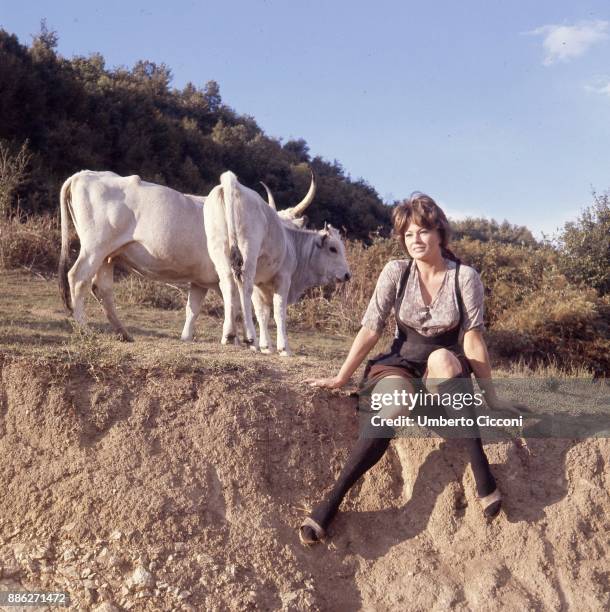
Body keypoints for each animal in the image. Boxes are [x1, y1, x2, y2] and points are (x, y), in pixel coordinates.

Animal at [57, 170, 314, 342]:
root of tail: (84, 174)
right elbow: (236, 305)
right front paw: (238, 338)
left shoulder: (202, 279)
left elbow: (204, 307)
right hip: (94, 247)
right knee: (77, 278)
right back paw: (84, 329)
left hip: (108, 255)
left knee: (102, 288)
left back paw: (124, 333)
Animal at [203, 171, 350, 354]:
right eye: (333, 248)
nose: (347, 274)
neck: (291, 242)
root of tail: (231, 182)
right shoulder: (283, 278)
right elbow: (279, 311)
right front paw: (283, 347)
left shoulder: (260, 284)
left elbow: (262, 313)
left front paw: (266, 346)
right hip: (248, 253)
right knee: (244, 285)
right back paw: (249, 337)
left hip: (220, 252)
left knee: (228, 285)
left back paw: (229, 335)